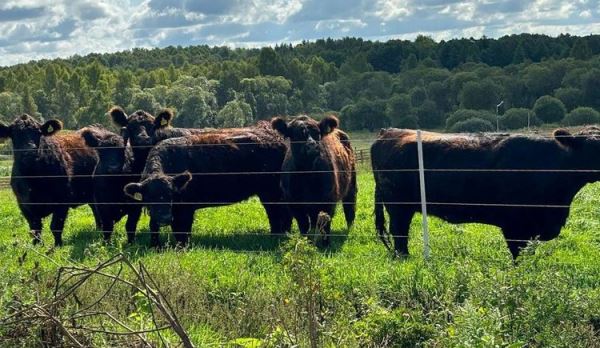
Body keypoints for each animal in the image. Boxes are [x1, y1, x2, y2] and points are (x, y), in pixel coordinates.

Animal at [0, 115, 100, 246]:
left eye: (38, 133)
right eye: (15, 134)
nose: (30, 151)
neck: (34, 180)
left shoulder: (62, 201)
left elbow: (55, 226)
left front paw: (58, 245)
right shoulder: (24, 205)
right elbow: (35, 228)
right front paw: (36, 246)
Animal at [121, 122, 290, 247]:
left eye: (171, 194)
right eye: (150, 197)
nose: (164, 218)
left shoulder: (186, 208)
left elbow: (183, 231)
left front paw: (183, 247)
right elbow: (159, 226)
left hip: (271, 192)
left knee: (277, 215)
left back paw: (276, 237)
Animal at [272, 115, 356, 245]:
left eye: (317, 133)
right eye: (297, 135)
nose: (312, 145)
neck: (307, 174)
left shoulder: (328, 200)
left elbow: (325, 225)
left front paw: (326, 244)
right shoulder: (295, 204)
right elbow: (304, 226)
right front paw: (307, 242)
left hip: (351, 185)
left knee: (349, 208)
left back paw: (350, 229)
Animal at [372, 128, 600, 258]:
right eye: (593, 148)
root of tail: (387, 132)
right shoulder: (515, 226)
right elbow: (519, 258)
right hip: (398, 207)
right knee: (400, 235)